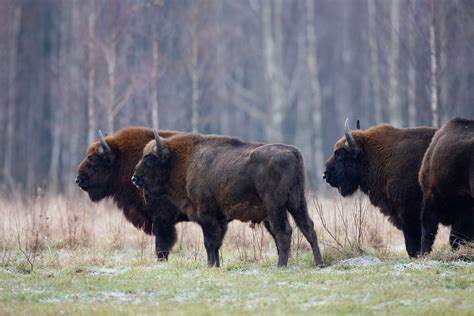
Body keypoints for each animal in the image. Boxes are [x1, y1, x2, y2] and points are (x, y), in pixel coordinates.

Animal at [132, 130, 322, 266]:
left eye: (149, 159)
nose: (134, 178)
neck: (183, 161)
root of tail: (292, 152)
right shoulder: (220, 219)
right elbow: (216, 243)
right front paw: (216, 265)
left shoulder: (206, 215)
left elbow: (209, 242)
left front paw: (210, 265)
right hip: (297, 202)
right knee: (308, 227)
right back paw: (318, 263)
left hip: (275, 206)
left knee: (284, 232)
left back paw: (281, 265)